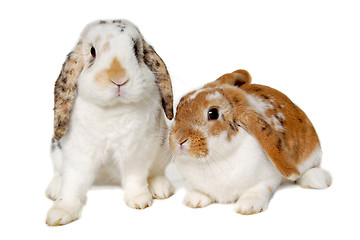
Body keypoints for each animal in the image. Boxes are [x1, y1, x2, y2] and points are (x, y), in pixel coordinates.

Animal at [45, 19, 175, 226]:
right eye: (92, 51)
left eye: (135, 49)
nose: (118, 79)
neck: (114, 108)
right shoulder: (79, 154)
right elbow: (72, 184)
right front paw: (60, 213)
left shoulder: (135, 152)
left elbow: (135, 176)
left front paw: (139, 200)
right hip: (56, 152)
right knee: (59, 173)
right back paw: (54, 190)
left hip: (163, 147)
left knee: (156, 171)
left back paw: (160, 188)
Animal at [169, 69, 332, 214]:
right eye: (178, 107)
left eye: (213, 113)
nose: (179, 140)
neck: (216, 160)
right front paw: (194, 200)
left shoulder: (267, 179)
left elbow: (259, 189)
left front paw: (248, 206)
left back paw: (315, 180)